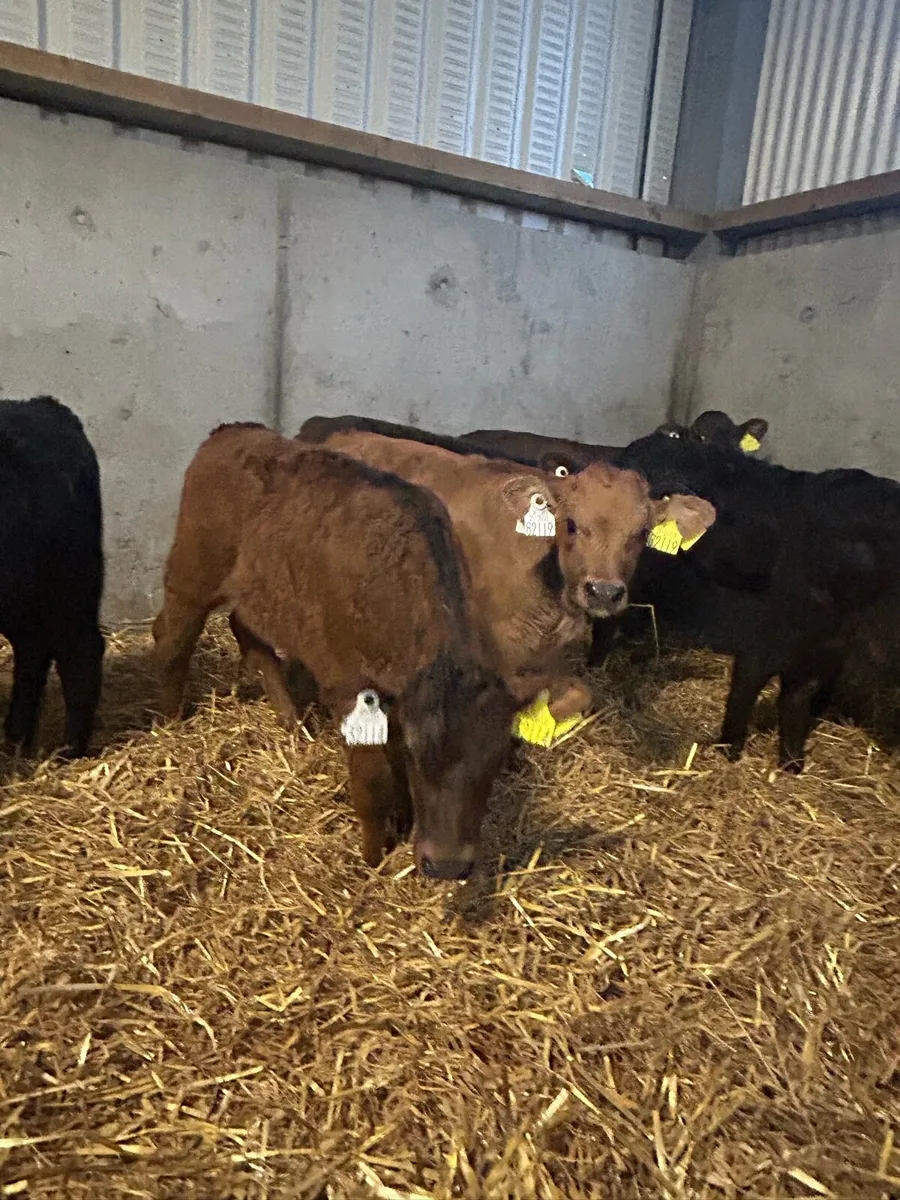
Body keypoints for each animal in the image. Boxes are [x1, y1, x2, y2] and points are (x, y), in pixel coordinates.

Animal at [153, 423, 519, 880]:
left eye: (496, 759)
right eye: (418, 754)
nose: (449, 865)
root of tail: (229, 432)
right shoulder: (350, 690)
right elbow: (372, 778)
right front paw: (373, 855)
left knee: (248, 635)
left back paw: (290, 720)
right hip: (191, 577)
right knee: (172, 639)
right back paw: (171, 719)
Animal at [614, 431, 900, 772]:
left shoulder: (800, 640)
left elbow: (778, 690)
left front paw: (768, 758)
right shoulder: (788, 633)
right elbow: (763, 684)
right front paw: (739, 751)